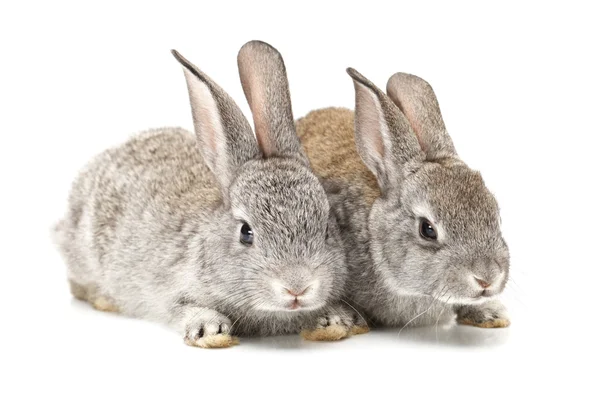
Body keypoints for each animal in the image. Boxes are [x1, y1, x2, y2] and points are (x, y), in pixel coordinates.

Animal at [52, 40, 356, 346]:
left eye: (326, 230)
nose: (297, 287)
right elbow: (185, 309)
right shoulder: (173, 292)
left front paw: (334, 320)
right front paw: (210, 331)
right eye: (246, 233)